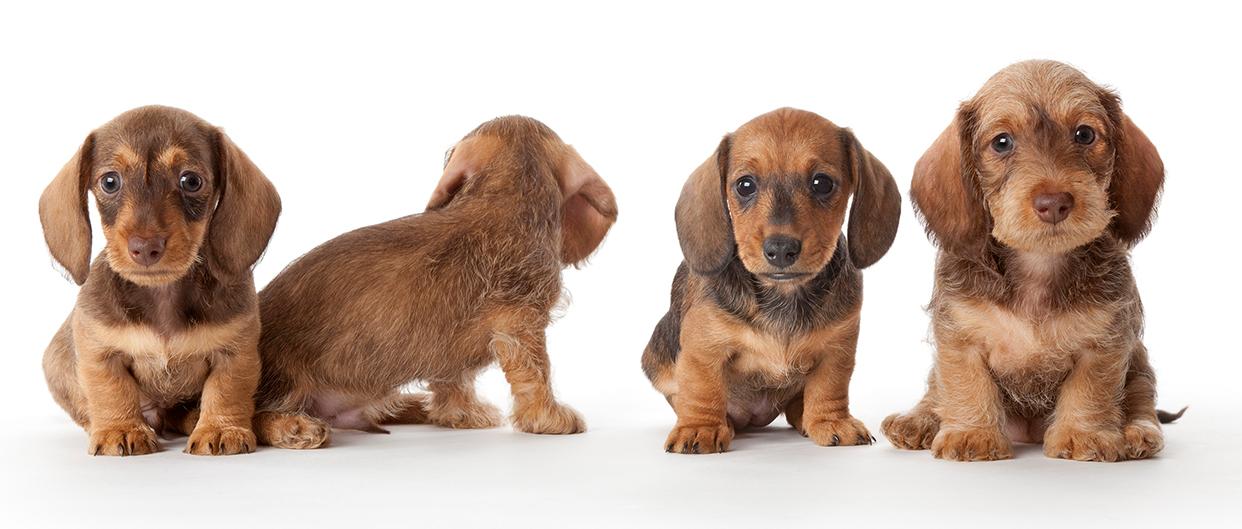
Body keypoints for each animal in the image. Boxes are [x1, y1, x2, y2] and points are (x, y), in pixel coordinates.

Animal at [39, 106, 281, 456]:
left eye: (191, 180)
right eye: (110, 181)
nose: (145, 247)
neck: (162, 295)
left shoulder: (236, 352)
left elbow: (226, 390)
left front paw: (220, 428)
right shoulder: (99, 352)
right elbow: (111, 390)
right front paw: (120, 428)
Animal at [250, 116, 616, 448]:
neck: (504, 200)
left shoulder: (452, 347)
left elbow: (454, 379)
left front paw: (462, 413)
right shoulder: (521, 320)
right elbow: (536, 372)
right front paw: (550, 417)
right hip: (282, 381)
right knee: (257, 416)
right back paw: (294, 426)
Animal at [642, 108, 901, 453]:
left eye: (822, 183)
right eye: (745, 185)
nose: (780, 249)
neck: (783, 294)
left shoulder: (838, 348)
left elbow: (830, 387)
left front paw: (831, 421)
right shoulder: (702, 349)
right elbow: (702, 389)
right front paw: (700, 427)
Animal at [881, 60, 1183, 462]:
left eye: (1085, 134)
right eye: (1002, 142)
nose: (1053, 202)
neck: (1038, 266)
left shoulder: (1104, 343)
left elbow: (1091, 389)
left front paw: (1082, 435)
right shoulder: (959, 338)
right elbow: (965, 384)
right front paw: (972, 434)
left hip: (1139, 362)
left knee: (1141, 398)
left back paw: (1139, 432)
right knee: (935, 391)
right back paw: (917, 420)